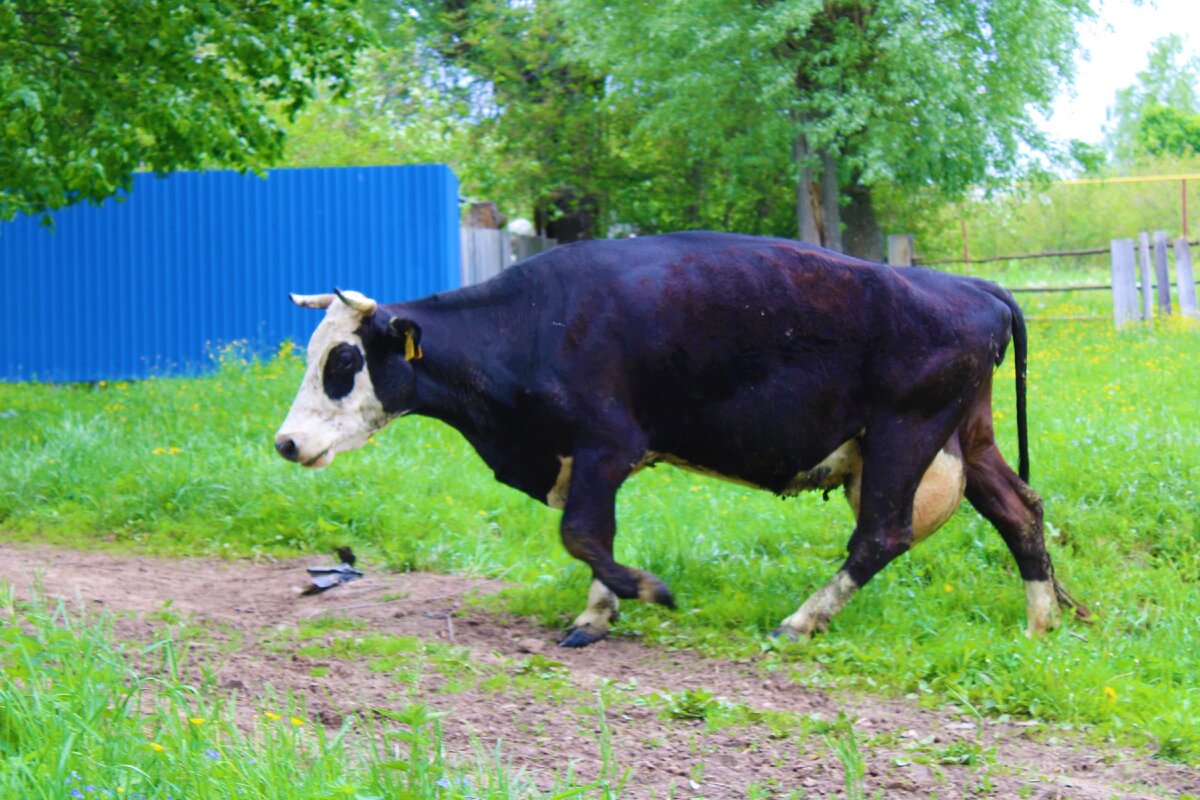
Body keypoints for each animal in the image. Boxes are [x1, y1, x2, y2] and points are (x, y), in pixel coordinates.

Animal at [276, 227, 1094, 647]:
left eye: (343, 361)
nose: (285, 443)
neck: (534, 323)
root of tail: (967, 286)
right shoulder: (593, 460)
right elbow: (595, 536)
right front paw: (597, 612)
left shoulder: (604, 444)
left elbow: (582, 534)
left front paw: (641, 592)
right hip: (965, 438)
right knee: (1020, 510)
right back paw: (1040, 622)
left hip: (904, 433)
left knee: (881, 536)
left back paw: (801, 620)